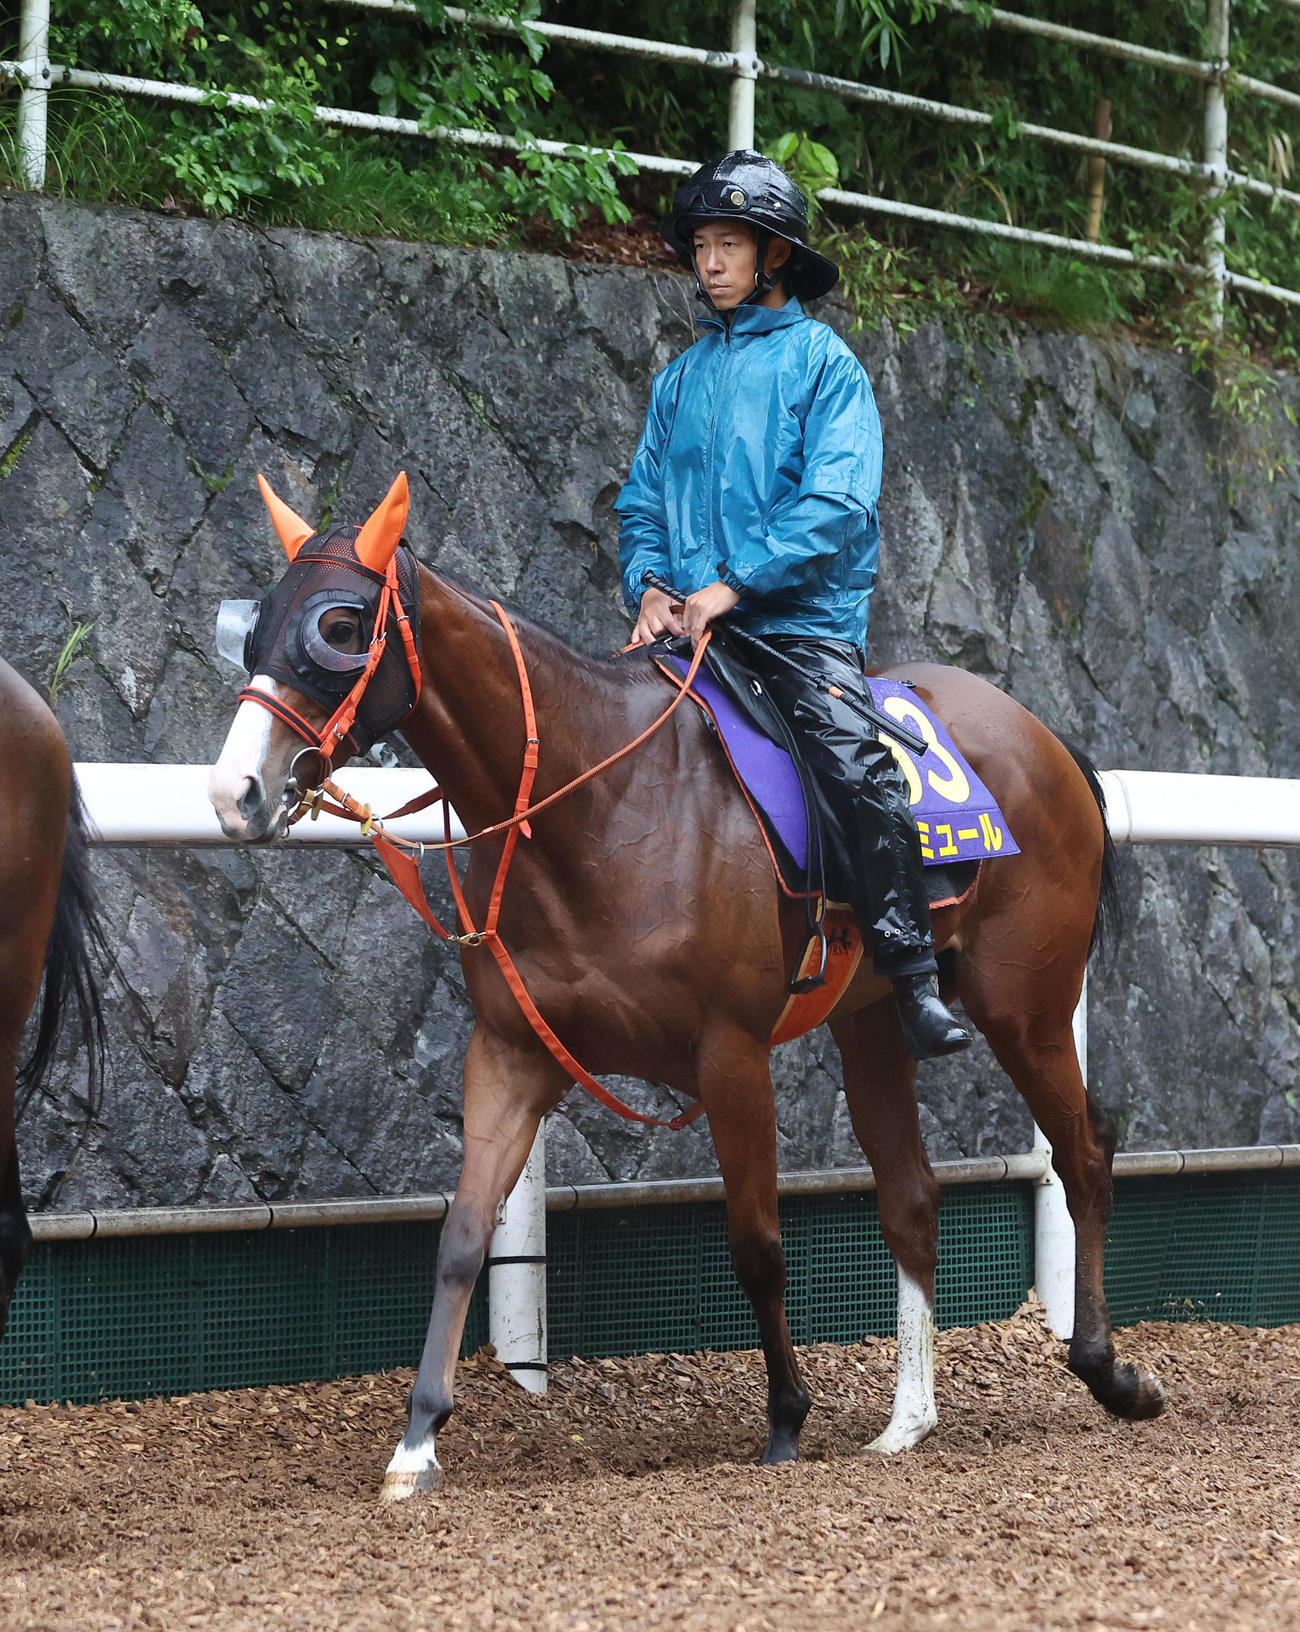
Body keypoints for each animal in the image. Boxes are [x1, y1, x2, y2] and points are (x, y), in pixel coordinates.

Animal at [207, 474, 1165, 1502]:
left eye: (340, 627)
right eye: (255, 625)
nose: (234, 792)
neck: (602, 806)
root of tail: (1046, 737)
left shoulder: (730, 1053)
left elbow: (757, 1246)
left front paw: (786, 1419)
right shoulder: (512, 1052)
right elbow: (462, 1236)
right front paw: (417, 1442)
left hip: (1027, 1005)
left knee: (1086, 1152)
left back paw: (1109, 1371)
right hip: (872, 1022)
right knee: (911, 1195)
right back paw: (907, 1421)